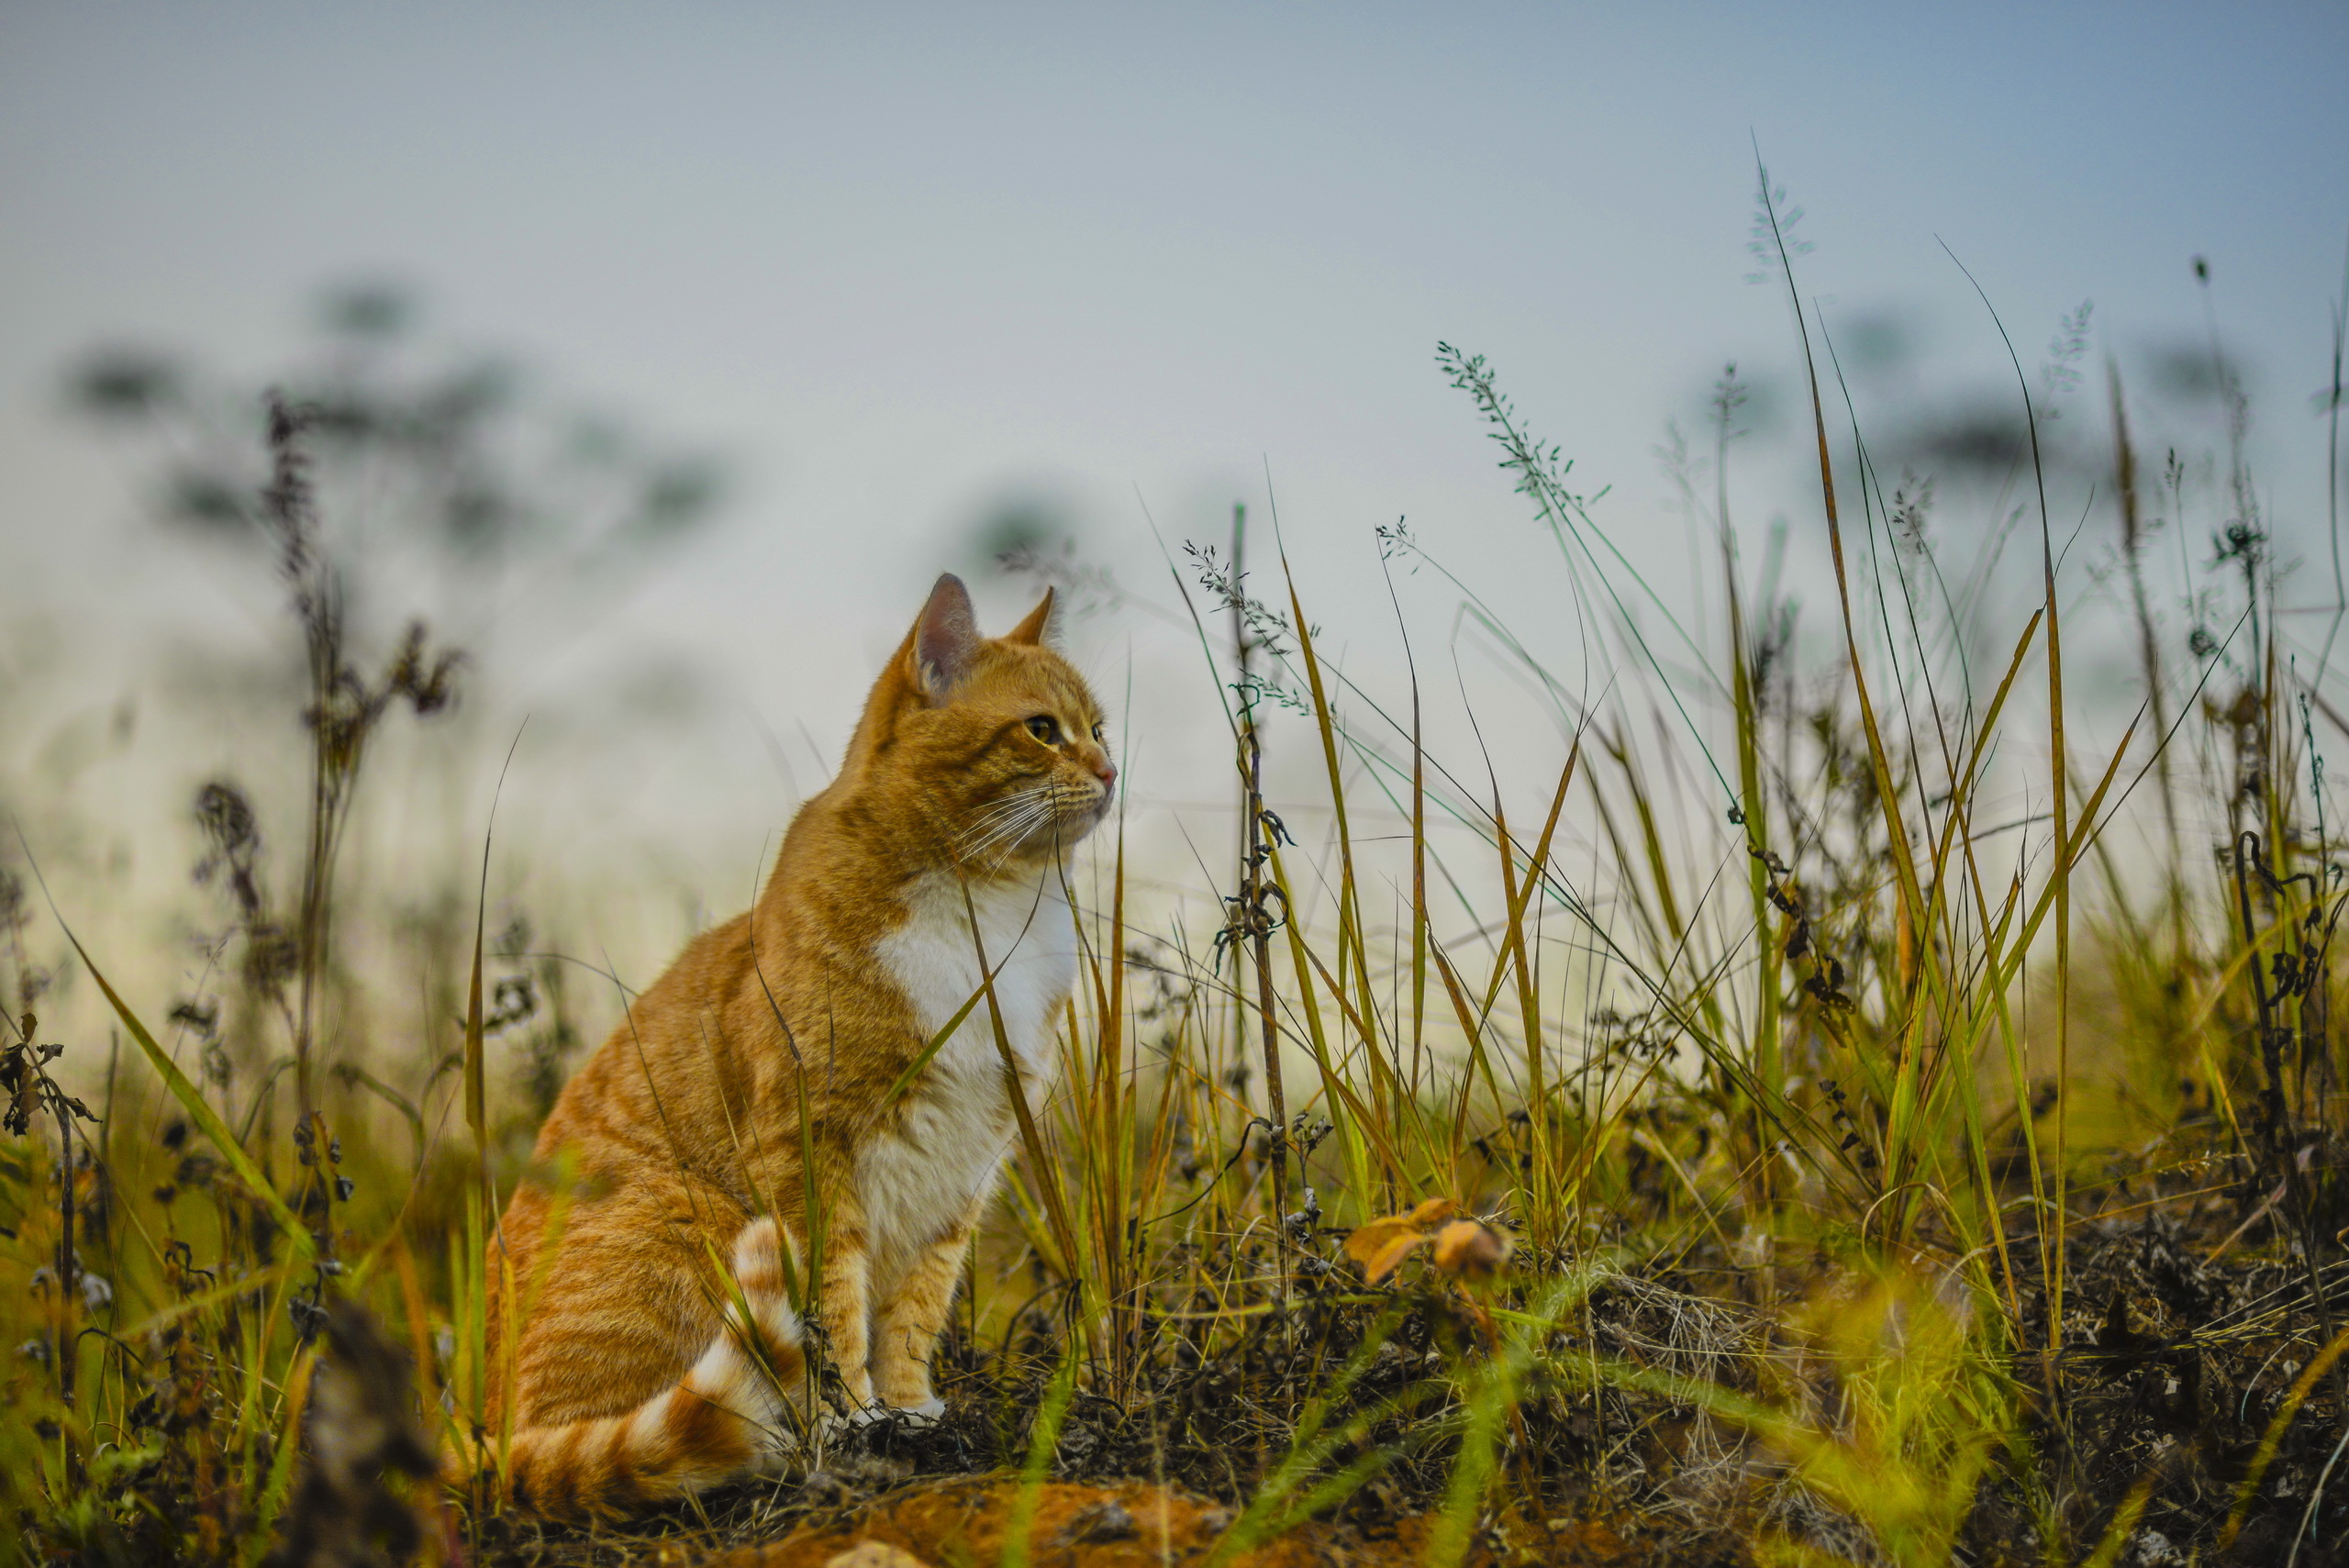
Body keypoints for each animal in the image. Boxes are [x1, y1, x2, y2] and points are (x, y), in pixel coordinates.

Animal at [472, 574, 1113, 1520]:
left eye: (1101, 727)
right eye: (1042, 728)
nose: (1112, 772)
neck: (990, 909)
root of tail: (483, 1439)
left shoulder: (963, 1166)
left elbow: (915, 1307)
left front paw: (908, 1409)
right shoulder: (811, 1142)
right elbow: (835, 1301)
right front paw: (851, 1419)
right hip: (689, 1211)